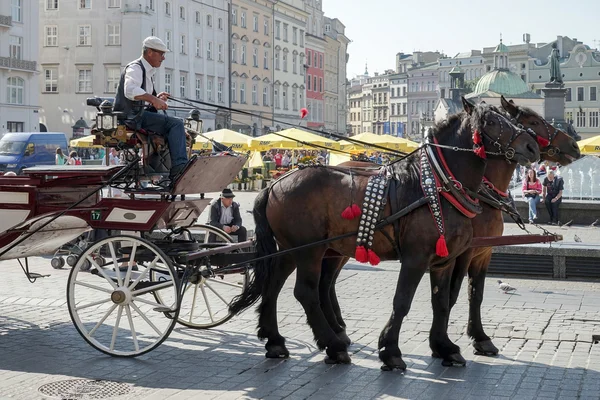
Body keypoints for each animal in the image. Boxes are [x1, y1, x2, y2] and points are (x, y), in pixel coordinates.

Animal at [230, 99, 540, 368]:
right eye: (491, 122)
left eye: (512, 119)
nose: (532, 146)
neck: (438, 186)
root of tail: (276, 183)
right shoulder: (417, 258)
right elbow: (402, 301)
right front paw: (390, 350)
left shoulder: (446, 260)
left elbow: (441, 302)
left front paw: (444, 347)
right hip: (310, 250)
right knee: (306, 292)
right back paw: (334, 345)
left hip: (290, 249)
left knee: (274, 286)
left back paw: (275, 341)